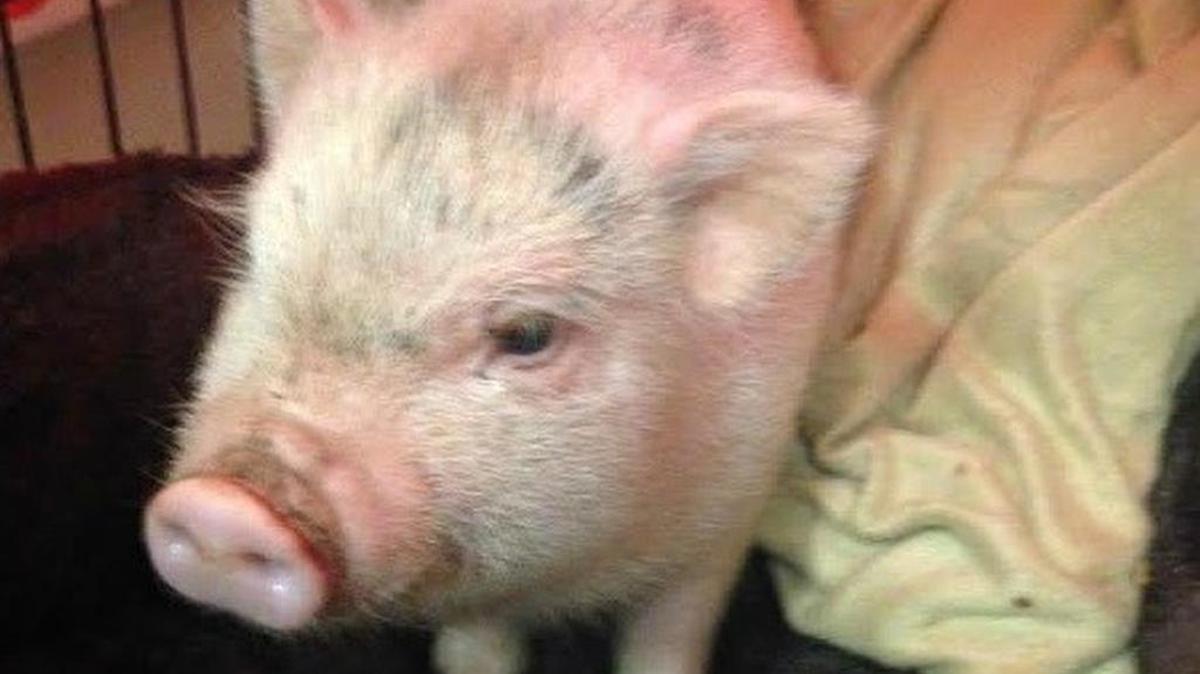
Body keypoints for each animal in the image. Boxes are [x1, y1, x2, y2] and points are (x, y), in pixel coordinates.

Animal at [141, 1, 875, 672]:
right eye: (255, 260)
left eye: (527, 334)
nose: (221, 507)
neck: (576, 571)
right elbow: (479, 644)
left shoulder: (732, 503)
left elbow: (671, 635)